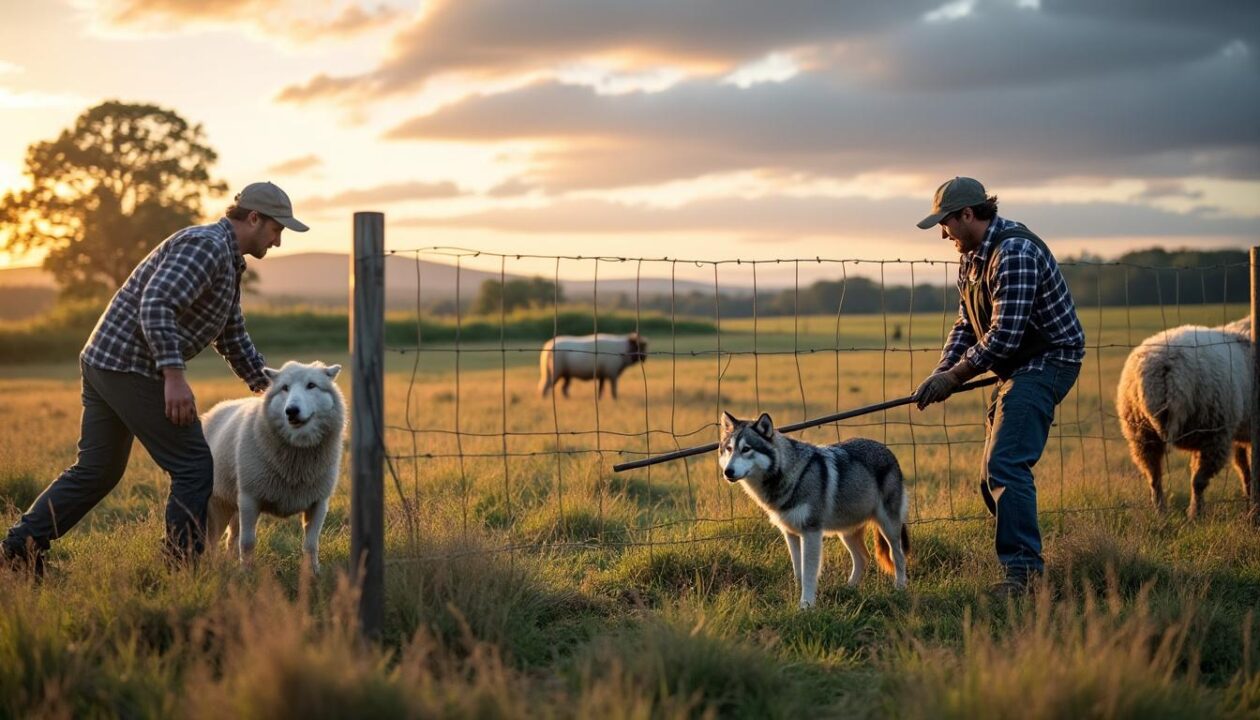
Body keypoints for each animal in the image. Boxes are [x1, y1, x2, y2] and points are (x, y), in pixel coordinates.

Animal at [202, 360, 346, 574]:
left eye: (311, 385)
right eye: (284, 388)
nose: (291, 410)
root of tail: (215, 409)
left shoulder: (319, 502)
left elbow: (311, 544)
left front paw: (313, 573)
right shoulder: (250, 498)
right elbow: (248, 542)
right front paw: (247, 573)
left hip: (235, 504)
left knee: (231, 537)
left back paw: (228, 562)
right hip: (218, 504)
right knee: (213, 540)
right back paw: (214, 566)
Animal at [718, 411, 909, 607]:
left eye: (746, 449)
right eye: (729, 449)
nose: (728, 472)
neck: (792, 477)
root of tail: (887, 450)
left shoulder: (811, 532)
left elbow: (809, 573)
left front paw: (806, 605)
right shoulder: (790, 534)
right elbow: (798, 571)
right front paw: (797, 595)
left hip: (888, 527)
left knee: (898, 556)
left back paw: (899, 588)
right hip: (846, 532)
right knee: (863, 558)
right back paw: (848, 589)